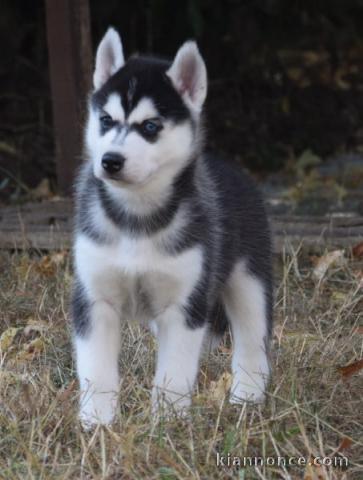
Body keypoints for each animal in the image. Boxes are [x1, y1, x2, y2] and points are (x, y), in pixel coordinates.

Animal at [72, 27, 272, 428]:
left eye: (150, 127)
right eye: (105, 120)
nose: (110, 160)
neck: (136, 217)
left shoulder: (184, 305)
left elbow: (174, 373)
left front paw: (167, 423)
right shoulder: (93, 298)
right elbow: (96, 370)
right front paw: (97, 422)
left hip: (249, 281)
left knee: (251, 340)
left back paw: (246, 396)